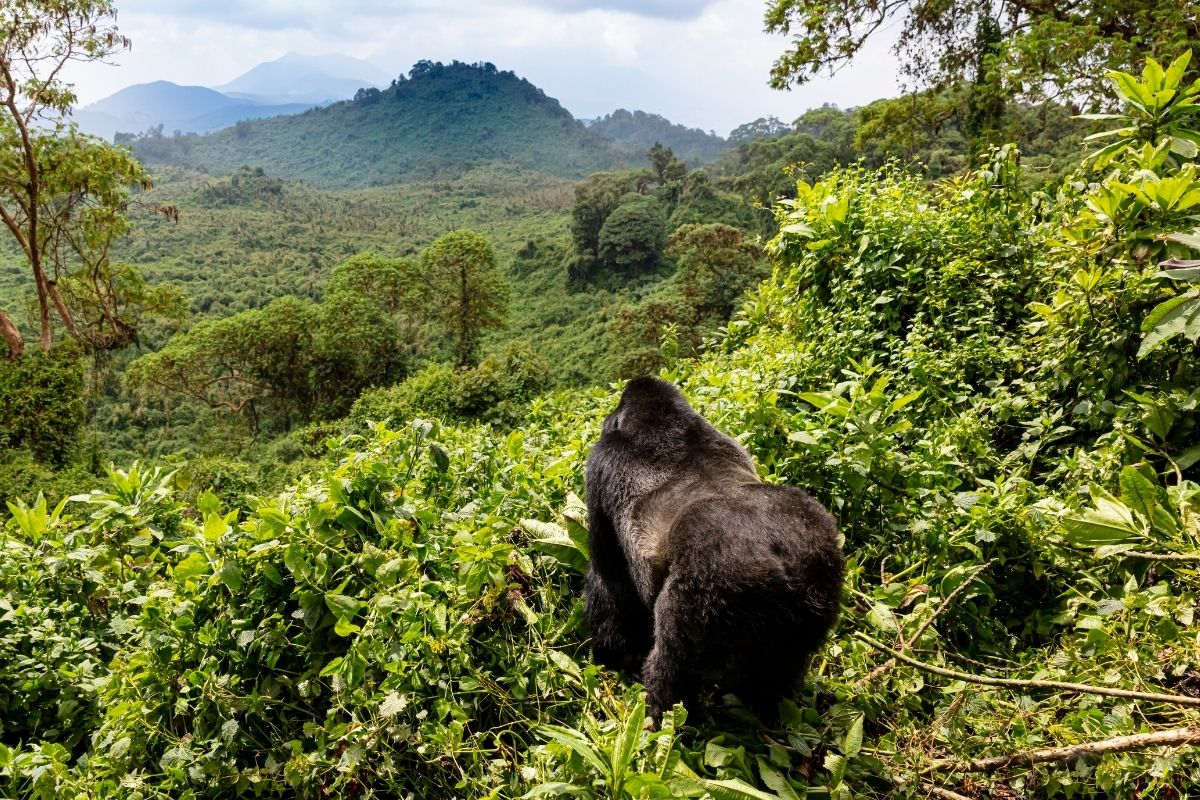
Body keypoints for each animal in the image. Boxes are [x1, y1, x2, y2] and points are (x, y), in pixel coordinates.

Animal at [583, 377, 844, 721]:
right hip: (821, 572)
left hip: (710, 587)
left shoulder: (600, 464)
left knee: (672, 668)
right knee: (780, 669)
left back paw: (661, 715)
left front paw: (614, 656)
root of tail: (781, 561)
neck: (664, 423)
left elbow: (608, 577)